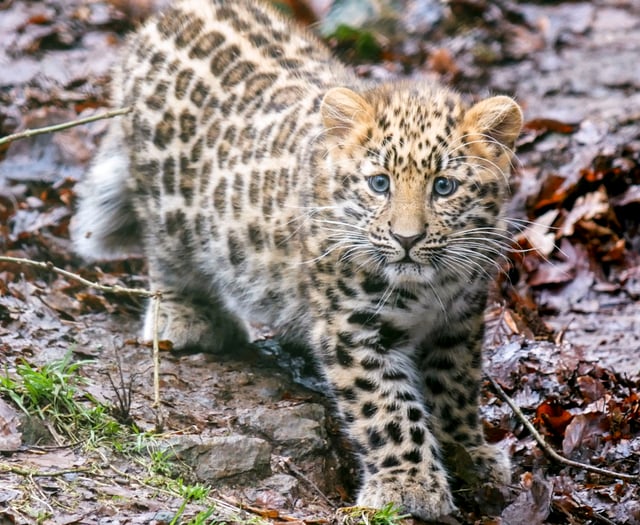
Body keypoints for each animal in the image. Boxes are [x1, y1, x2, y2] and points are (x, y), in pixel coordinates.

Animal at [71, 0, 523, 519]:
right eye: (380, 183)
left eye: (444, 186)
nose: (406, 238)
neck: (430, 285)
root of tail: (164, 19)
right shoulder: (354, 329)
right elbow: (387, 409)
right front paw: (408, 484)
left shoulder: (460, 322)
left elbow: (455, 388)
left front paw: (471, 453)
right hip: (167, 205)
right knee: (168, 258)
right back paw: (186, 318)